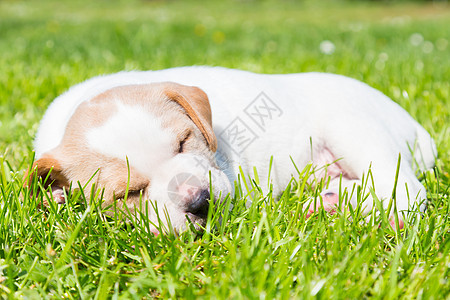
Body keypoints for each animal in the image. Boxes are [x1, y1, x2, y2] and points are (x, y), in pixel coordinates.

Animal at [28, 67, 436, 233]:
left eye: (183, 142)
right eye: (129, 193)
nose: (198, 202)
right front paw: (56, 198)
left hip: (355, 129)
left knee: (407, 189)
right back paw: (329, 203)